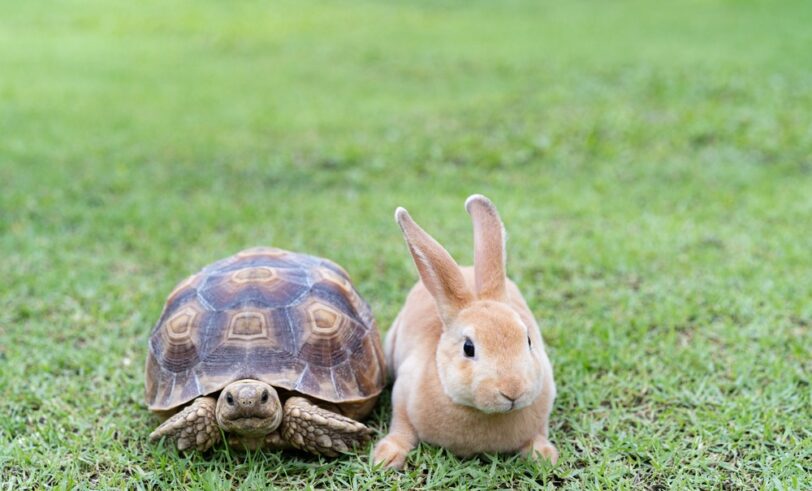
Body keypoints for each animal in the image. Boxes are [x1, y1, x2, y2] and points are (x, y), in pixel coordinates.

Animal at [372, 194, 558, 470]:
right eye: (468, 348)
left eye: (528, 340)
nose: (512, 390)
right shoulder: (403, 395)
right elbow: (401, 428)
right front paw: (385, 458)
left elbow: (538, 433)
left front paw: (544, 457)